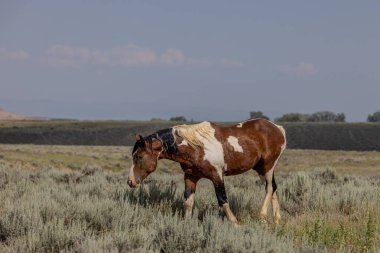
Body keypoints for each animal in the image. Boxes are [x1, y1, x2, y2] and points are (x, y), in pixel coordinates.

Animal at [127, 118, 284, 225]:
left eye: (139, 156)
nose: (130, 181)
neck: (196, 147)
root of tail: (278, 128)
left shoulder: (217, 176)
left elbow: (223, 200)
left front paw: (236, 224)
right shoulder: (190, 177)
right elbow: (188, 202)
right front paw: (186, 224)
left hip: (268, 166)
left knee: (269, 188)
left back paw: (262, 216)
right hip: (261, 169)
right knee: (273, 188)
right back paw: (277, 220)